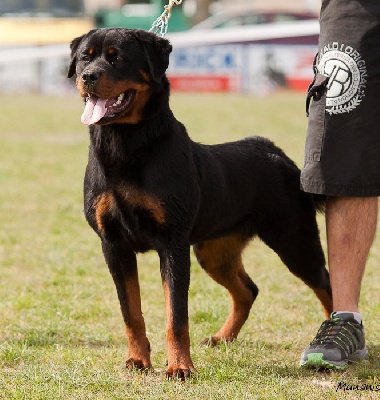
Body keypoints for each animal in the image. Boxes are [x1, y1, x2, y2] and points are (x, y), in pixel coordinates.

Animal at [68, 28, 332, 378]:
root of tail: (280, 156)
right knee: (248, 290)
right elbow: (131, 312)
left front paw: (180, 367)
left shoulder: (173, 243)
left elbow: (176, 315)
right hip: (214, 250)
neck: (124, 145)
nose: (88, 76)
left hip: (294, 240)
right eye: (84, 58)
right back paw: (222, 338)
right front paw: (138, 360)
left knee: (326, 283)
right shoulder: (113, 244)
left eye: (117, 58)